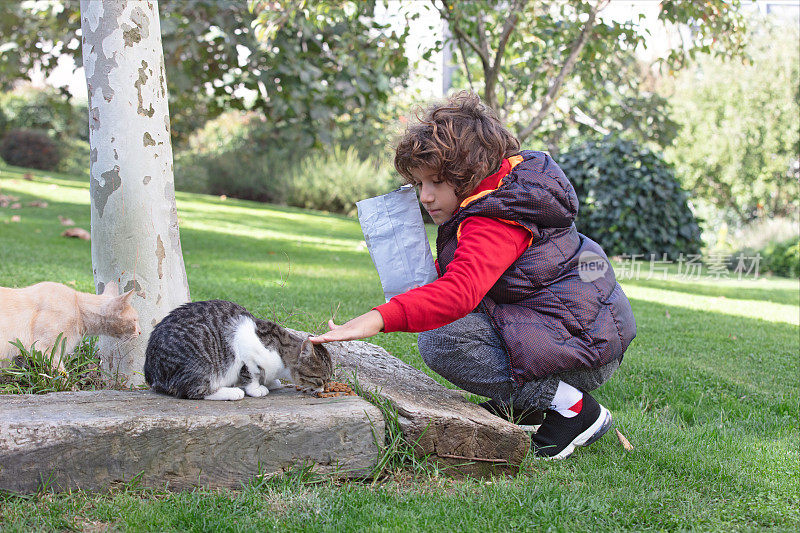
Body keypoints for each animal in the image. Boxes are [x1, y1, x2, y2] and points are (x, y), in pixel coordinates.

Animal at [144, 300, 332, 400]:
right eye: (321, 380)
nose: (323, 390)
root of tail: (151, 371)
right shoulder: (247, 352)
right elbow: (252, 374)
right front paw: (256, 388)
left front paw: (270, 382)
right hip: (200, 361)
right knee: (193, 390)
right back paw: (231, 392)